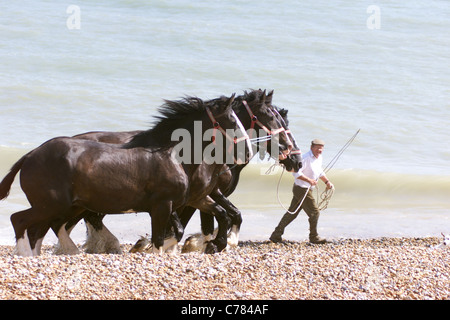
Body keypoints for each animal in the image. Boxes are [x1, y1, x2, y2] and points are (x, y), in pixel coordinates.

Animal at [0, 92, 253, 255]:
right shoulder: (163, 206)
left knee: (38, 229)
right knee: (20, 220)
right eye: (232, 121)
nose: (248, 152)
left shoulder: (182, 202)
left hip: (58, 206)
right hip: (51, 205)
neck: (173, 155)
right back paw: (26, 254)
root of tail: (30, 155)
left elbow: (185, 228)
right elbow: (162, 239)